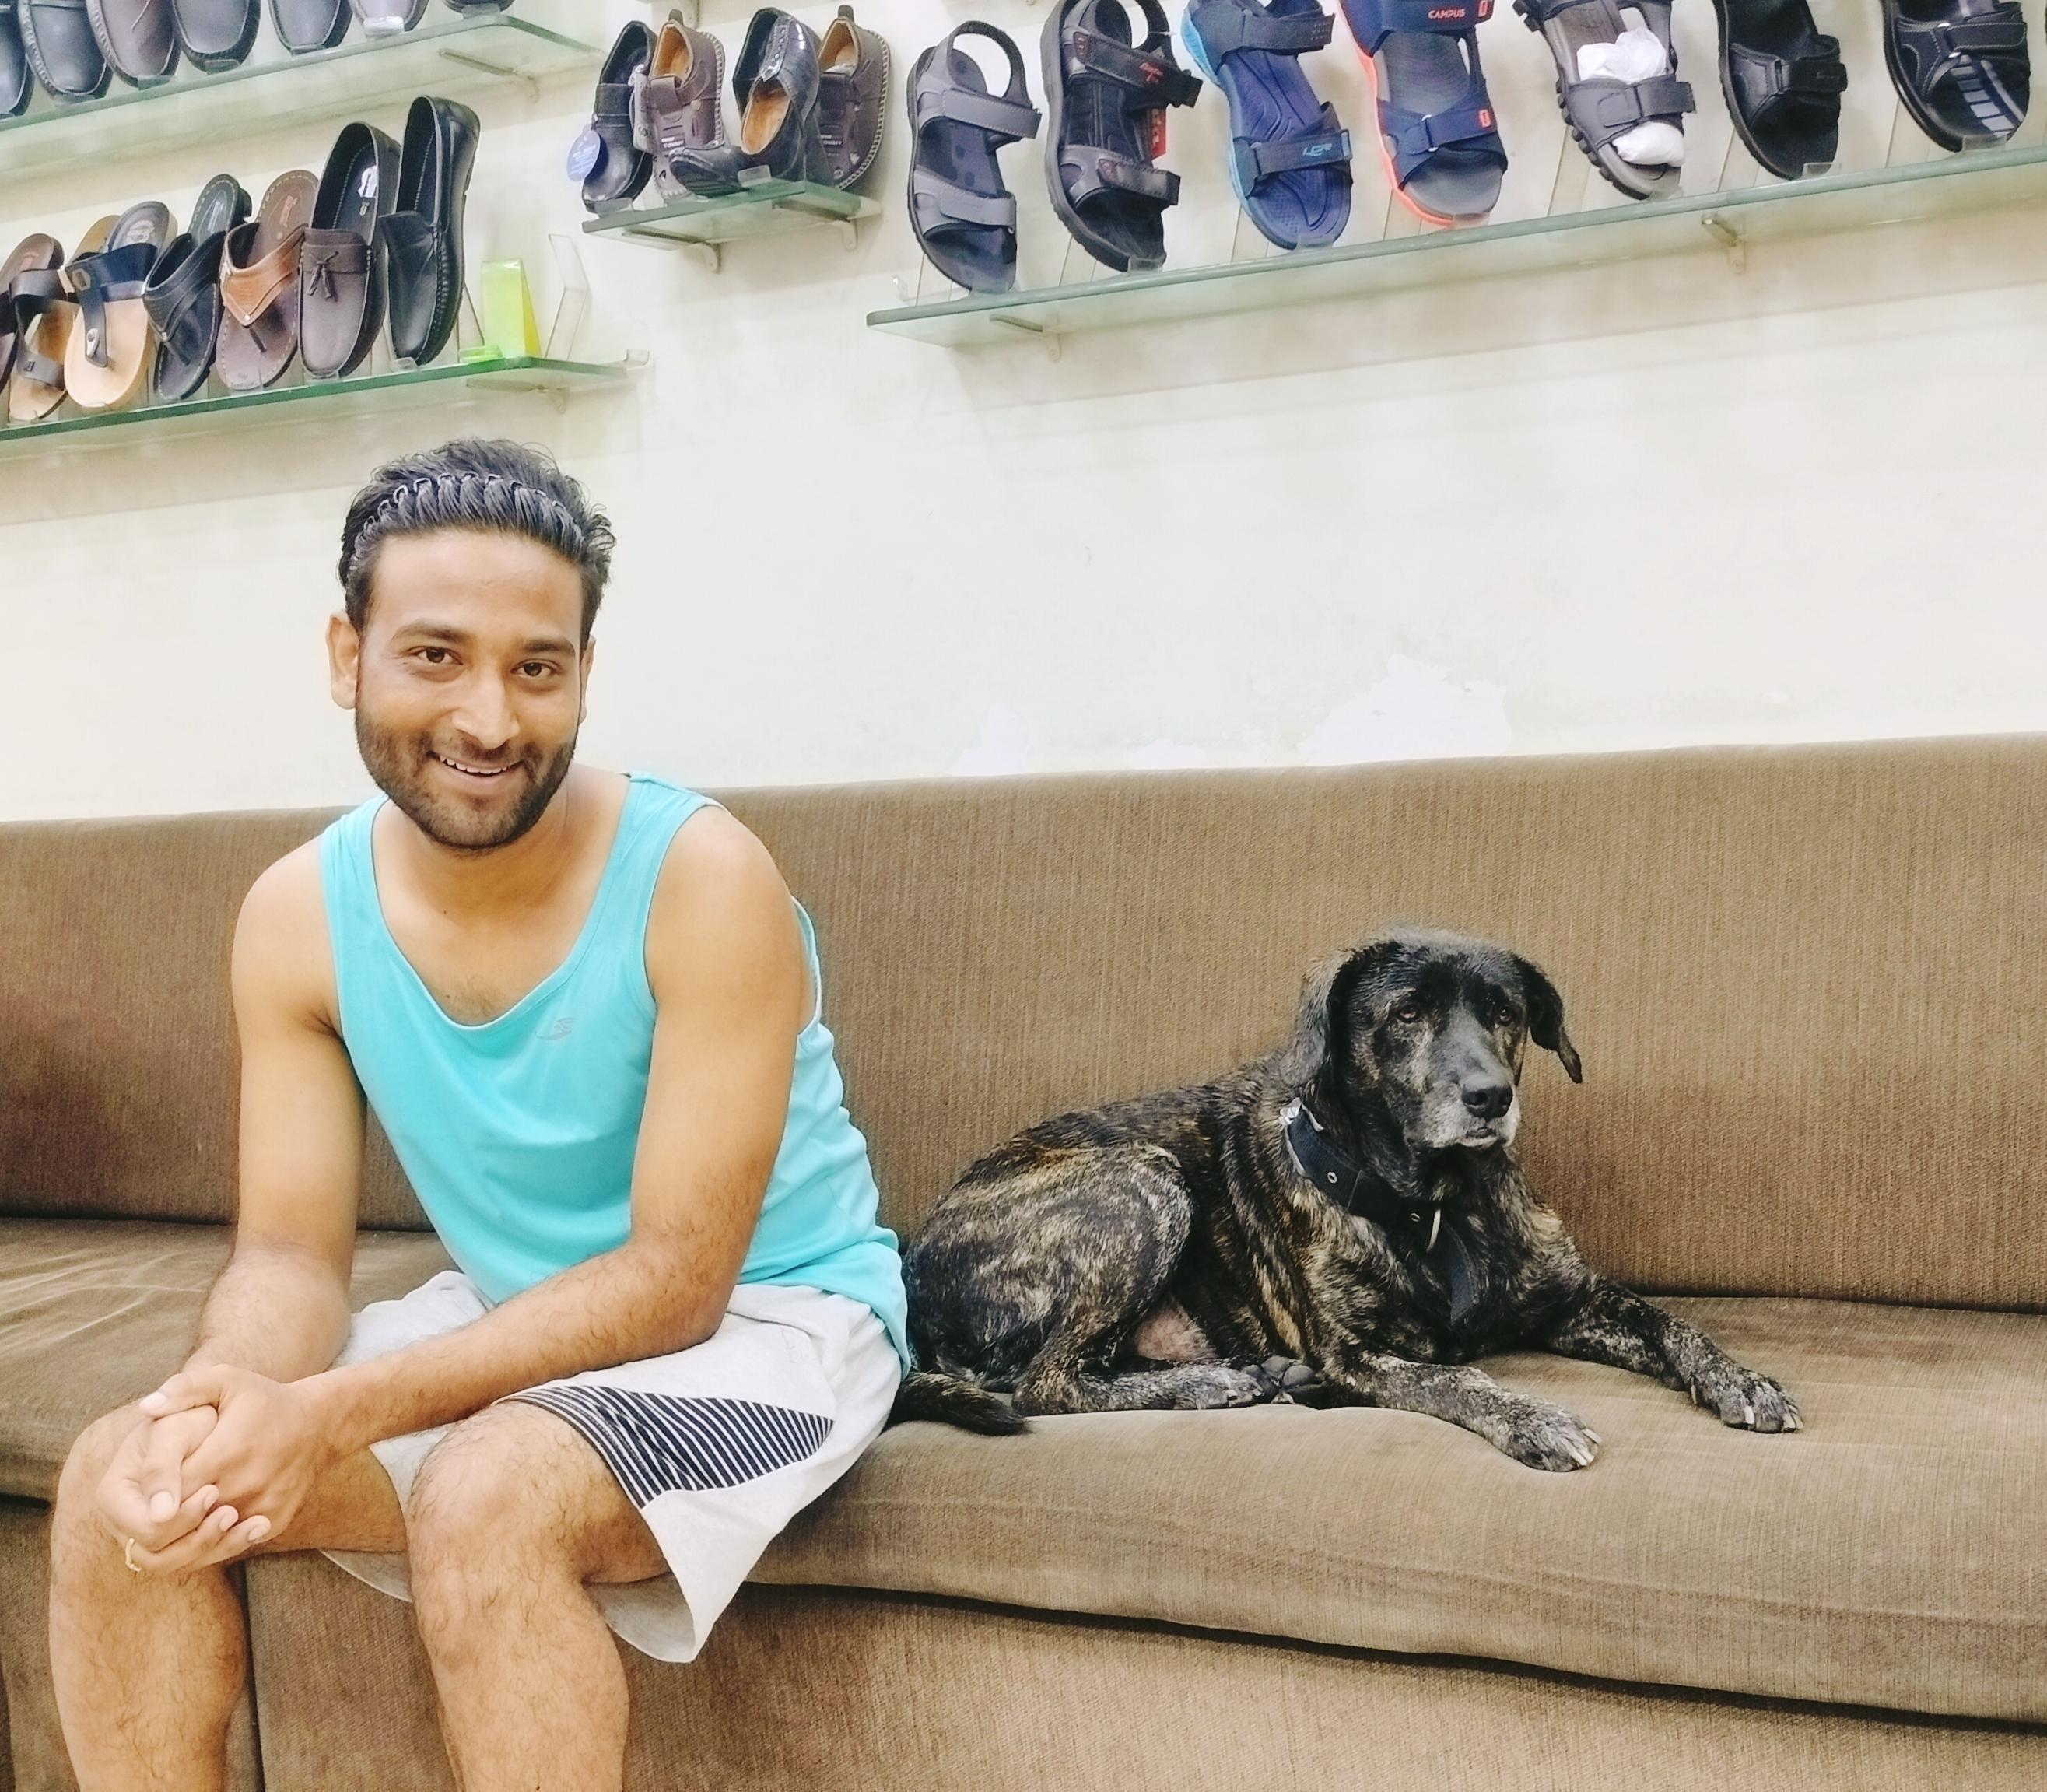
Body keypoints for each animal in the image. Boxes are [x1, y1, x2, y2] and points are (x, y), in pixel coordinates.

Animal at [890, 928, 1801, 1472]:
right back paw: (1220, 1383)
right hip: (1144, 1177)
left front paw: (1744, 1380)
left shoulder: (1572, 1300)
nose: (1490, 1095)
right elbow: (1458, 1381)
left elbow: (1675, 1325)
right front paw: (1533, 1416)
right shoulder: (1360, 1355)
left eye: (1505, 1012)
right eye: (1406, 1014)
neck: (1442, 1204)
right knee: (1046, 1383)